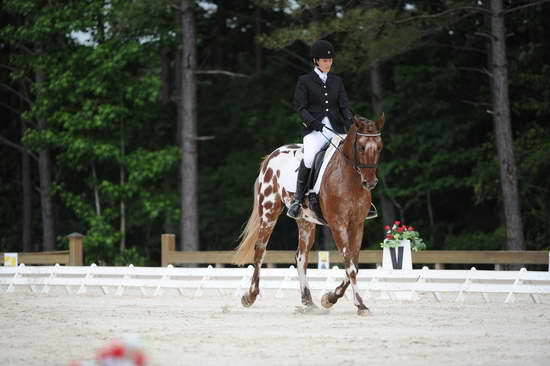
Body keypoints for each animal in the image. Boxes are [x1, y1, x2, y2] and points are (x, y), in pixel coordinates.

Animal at [232, 113, 384, 314]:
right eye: (360, 147)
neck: (350, 179)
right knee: (260, 250)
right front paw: (360, 304)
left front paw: (330, 298)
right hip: (269, 212)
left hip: (305, 222)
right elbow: (349, 264)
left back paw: (308, 300)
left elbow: (355, 264)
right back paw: (249, 296)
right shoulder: (338, 224)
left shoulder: (357, 224)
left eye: (380, 147)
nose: (370, 183)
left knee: (301, 257)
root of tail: (271, 156)